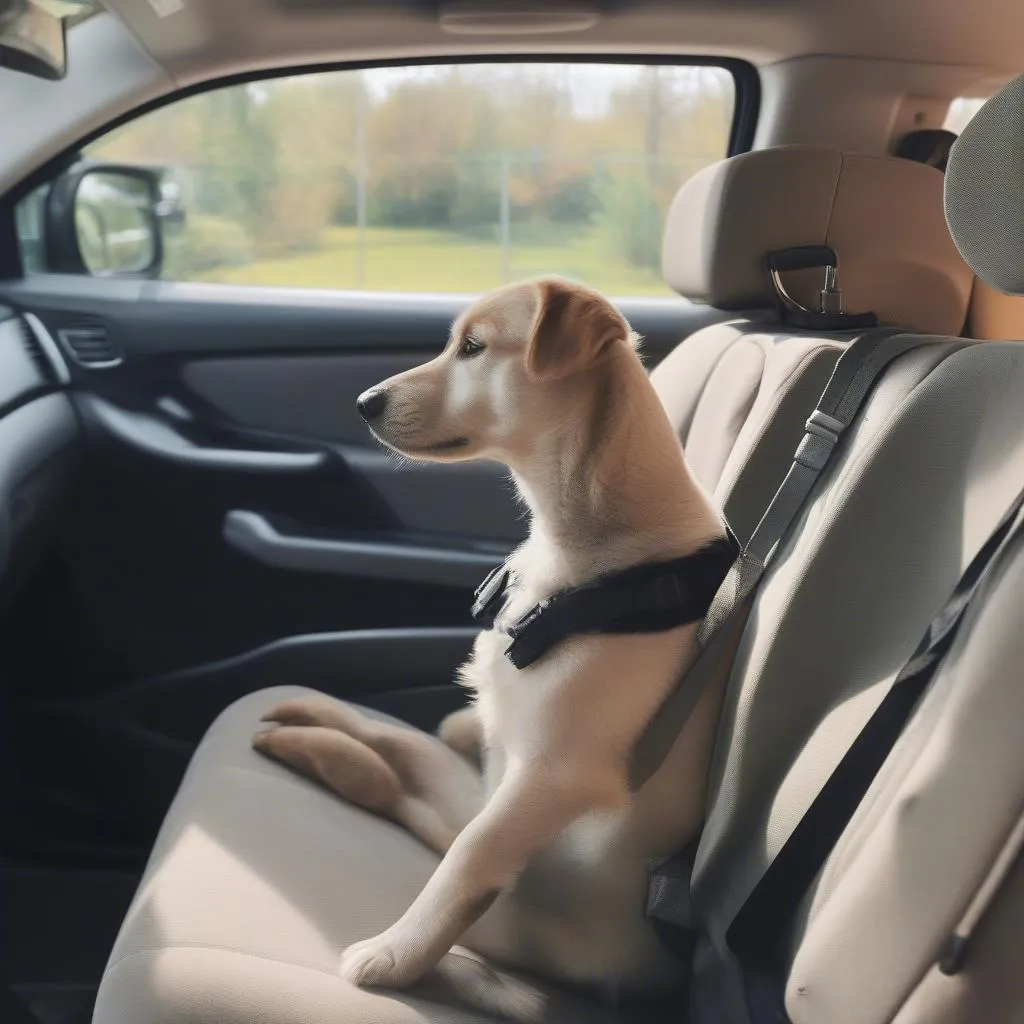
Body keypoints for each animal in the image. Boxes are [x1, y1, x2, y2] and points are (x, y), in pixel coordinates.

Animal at [256, 274, 737, 1015]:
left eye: (474, 348)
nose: (364, 403)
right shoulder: (507, 759)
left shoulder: (549, 776)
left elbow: (466, 861)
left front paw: (396, 955)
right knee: (406, 758)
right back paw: (311, 724)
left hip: (518, 900)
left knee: (420, 801)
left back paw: (316, 747)